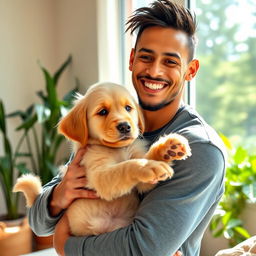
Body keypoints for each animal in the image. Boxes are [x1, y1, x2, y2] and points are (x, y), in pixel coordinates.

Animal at [13, 82, 191, 236]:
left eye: (128, 108)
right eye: (103, 112)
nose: (125, 126)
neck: (117, 149)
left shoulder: (141, 183)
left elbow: (144, 160)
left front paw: (168, 148)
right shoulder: (97, 176)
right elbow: (125, 166)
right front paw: (148, 166)